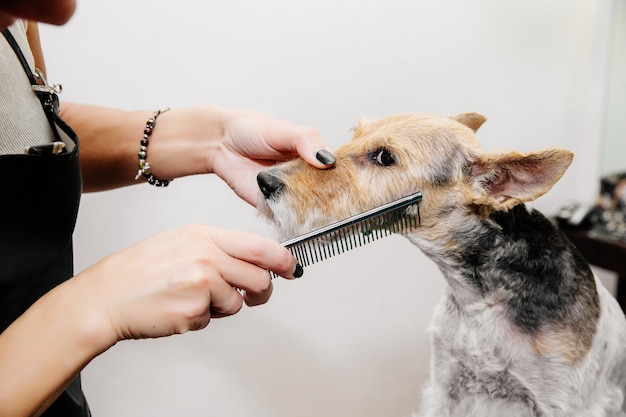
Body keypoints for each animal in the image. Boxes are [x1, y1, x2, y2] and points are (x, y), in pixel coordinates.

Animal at [254, 113, 624, 416]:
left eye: (385, 157)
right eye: (354, 132)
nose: (265, 181)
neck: (479, 299)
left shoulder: (559, 402)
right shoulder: (446, 383)